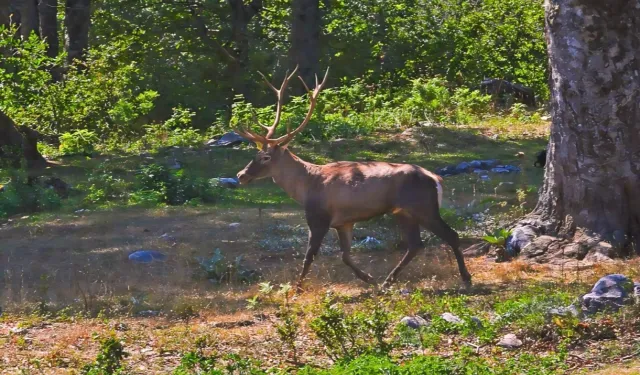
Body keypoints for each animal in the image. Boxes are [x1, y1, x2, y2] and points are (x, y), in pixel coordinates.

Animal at [235, 65, 470, 294]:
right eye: (255, 154)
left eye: (265, 157)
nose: (241, 175)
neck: (306, 186)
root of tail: (436, 179)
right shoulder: (344, 222)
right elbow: (345, 256)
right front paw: (370, 279)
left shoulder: (318, 217)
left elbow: (309, 255)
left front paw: (297, 288)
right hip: (404, 212)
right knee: (415, 245)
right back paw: (387, 282)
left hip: (424, 207)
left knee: (451, 235)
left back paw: (466, 278)